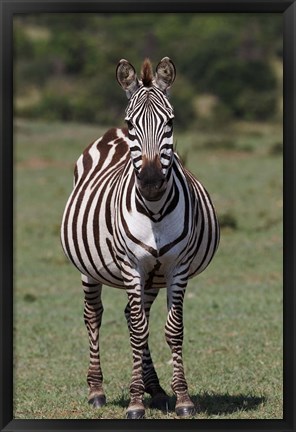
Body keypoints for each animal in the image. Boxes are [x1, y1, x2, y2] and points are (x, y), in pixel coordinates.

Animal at [60, 57, 220, 418]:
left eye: (170, 122)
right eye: (132, 123)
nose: (149, 182)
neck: (156, 211)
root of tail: (110, 133)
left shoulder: (177, 267)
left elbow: (171, 330)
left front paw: (182, 397)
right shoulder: (131, 265)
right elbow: (136, 330)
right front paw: (135, 403)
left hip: (152, 276)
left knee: (135, 316)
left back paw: (157, 390)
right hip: (90, 268)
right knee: (94, 316)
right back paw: (97, 390)